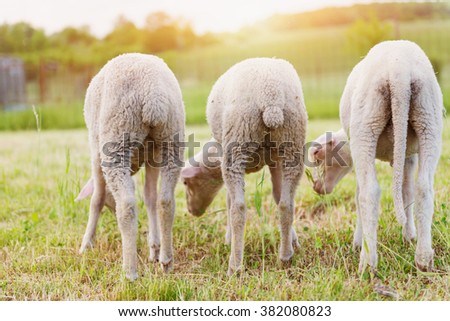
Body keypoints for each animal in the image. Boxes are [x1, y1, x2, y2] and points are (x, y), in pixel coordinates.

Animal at [75, 52, 185, 278]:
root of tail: (153, 96)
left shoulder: (96, 153)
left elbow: (97, 199)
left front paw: (86, 244)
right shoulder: (152, 157)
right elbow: (150, 197)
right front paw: (154, 248)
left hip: (116, 140)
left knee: (127, 205)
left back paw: (129, 272)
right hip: (171, 139)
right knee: (165, 201)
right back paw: (166, 261)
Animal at [181, 57, 308, 276]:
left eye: (186, 183)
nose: (192, 211)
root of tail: (271, 97)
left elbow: (229, 201)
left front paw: (227, 239)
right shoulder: (275, 159)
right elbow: (278, 196)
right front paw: (293, 242)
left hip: (238, 141)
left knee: (239, 208)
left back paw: (234, 265)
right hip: (292, 143)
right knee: (287, 204)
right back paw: (285, 258)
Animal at [310, 38, 442, 272]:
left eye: (321, 159)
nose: (318, 188)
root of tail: (399, 70)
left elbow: (358, 195)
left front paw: (357, 241)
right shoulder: (409, 155)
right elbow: (407, 192)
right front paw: (409, 235)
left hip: (366, 124)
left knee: (369, 193)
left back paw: (367, 262)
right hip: (429, 118)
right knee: (424, 188)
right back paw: (424, 259)